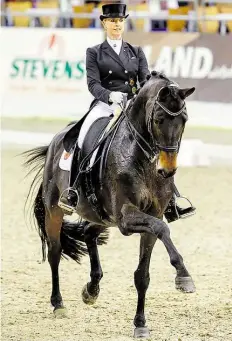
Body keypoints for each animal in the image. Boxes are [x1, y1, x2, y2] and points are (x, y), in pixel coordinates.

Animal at [23, 71, 196, 338]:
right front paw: (184, 276)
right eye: (158, 120)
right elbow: (163, 229)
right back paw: (58, 304)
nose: (167, 171)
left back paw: (91, 289)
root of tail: (55, 141)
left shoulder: (151, 215)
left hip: (102, 216)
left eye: (184, 119)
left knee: (88, 233)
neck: (142, 159)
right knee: (54, 253)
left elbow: (143, 273)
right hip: (55, 211)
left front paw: (140, 324)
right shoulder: (126, 218)